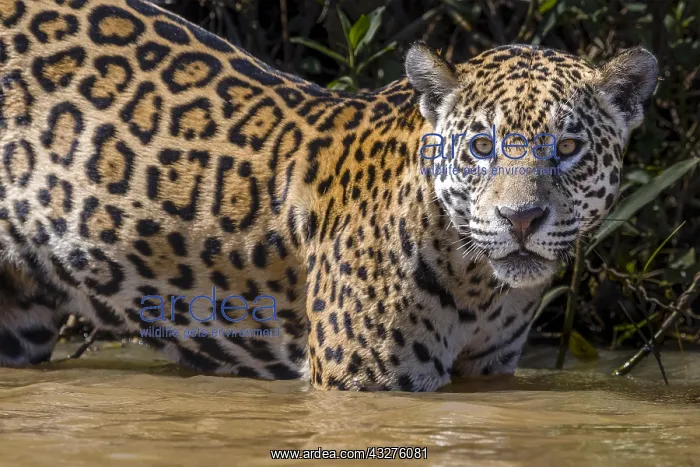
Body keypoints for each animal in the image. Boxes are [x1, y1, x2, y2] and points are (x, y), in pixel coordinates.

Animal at [0, 0, 658, 391]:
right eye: (479, 147)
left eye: (567, 146)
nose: (521, 218)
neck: (480, 285)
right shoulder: (362, 384)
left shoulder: (491, 370)